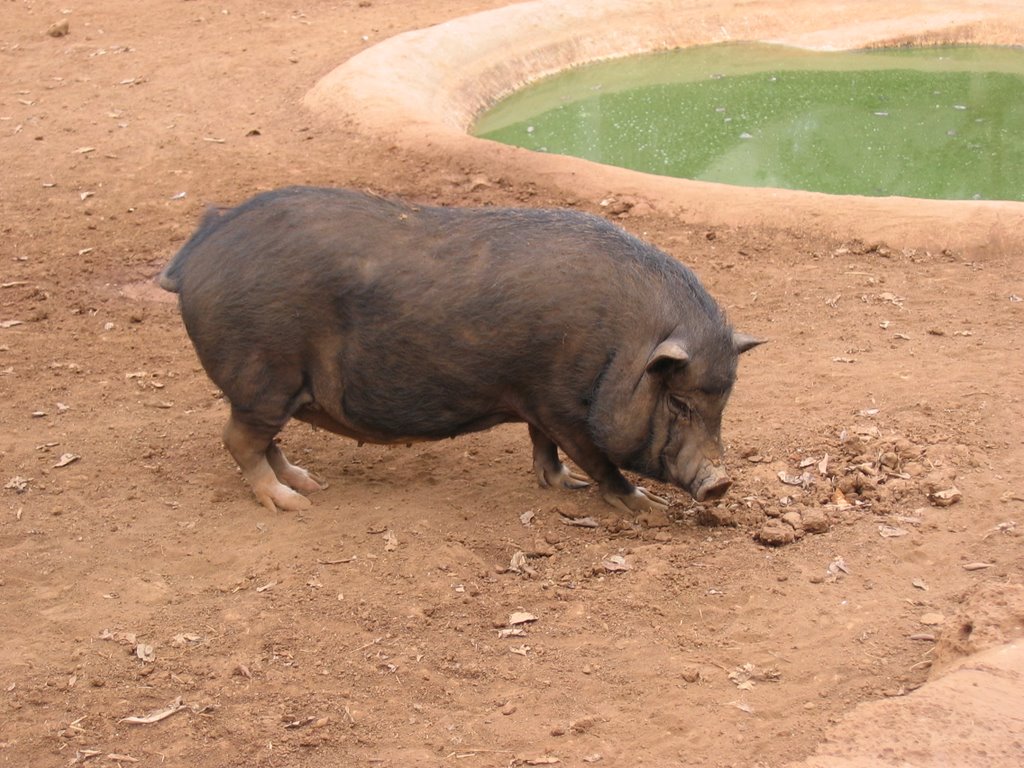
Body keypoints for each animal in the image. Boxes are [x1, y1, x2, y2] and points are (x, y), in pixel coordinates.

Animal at [159, 186, 761, 514]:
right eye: (679, 402)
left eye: (723, 404)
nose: (720, 482)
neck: (623, 348)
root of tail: (198, 250)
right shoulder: (561, 405)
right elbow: (596, 459)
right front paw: (645, 507)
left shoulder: (536, 399)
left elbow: (543, 447)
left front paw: (562, 485)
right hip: (263, 375)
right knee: (239, 440)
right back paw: (296, 502)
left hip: (272, 387)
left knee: (267, 442)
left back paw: (309, 481)